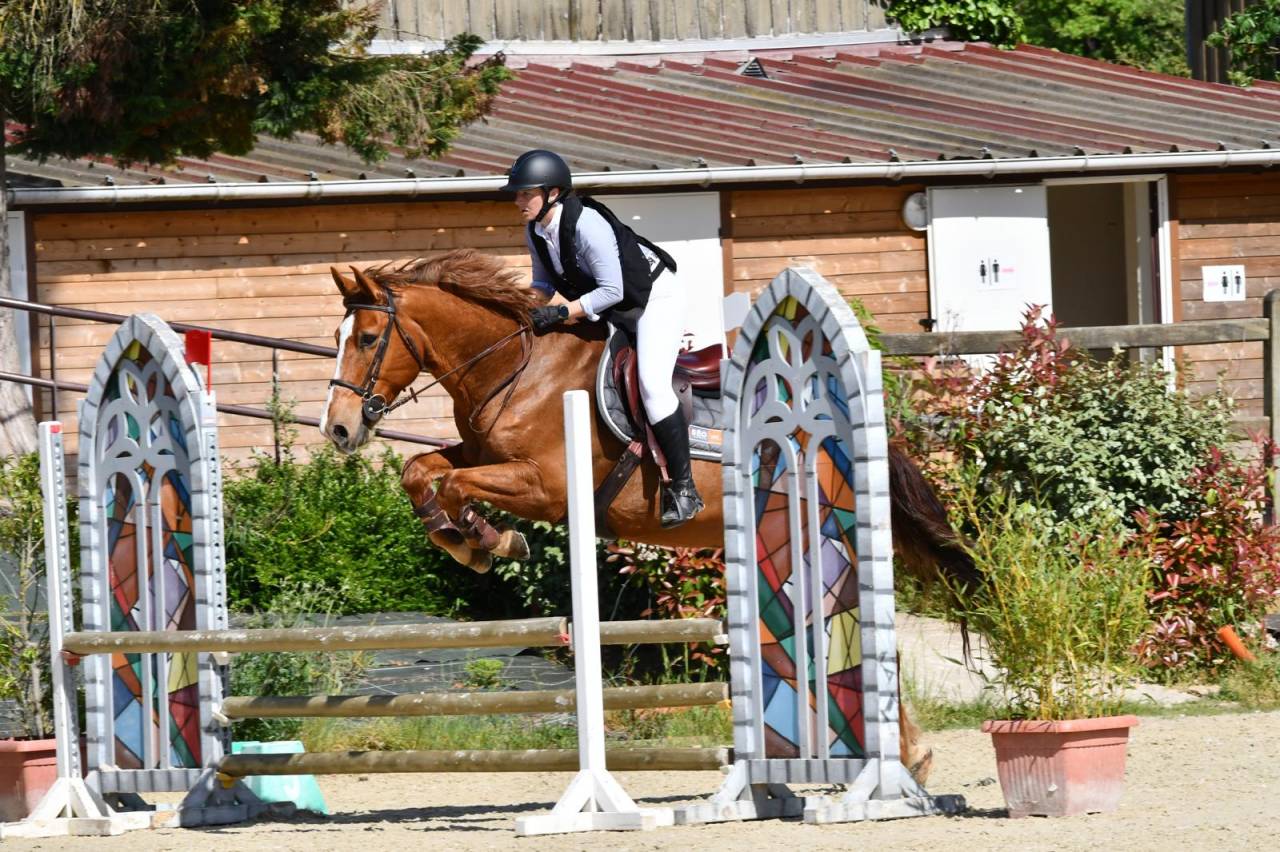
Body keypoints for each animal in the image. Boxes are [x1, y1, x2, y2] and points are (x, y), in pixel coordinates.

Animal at [320, 249, 979, 784]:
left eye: (368, 337)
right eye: (338, 333)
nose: (339, 429)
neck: (516, 369)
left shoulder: (544, 487)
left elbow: (456, 484)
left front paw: (489, 541)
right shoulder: (482, 455)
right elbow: (421, 468)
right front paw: (463, 539)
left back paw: (904, 756)